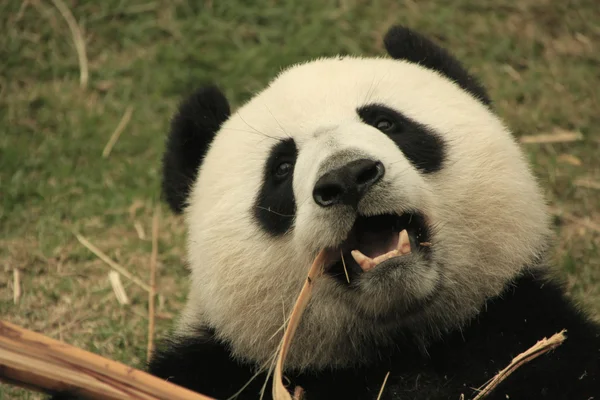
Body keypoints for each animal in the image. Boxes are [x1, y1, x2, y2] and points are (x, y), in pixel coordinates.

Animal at [52, 25, 600, 400]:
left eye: (386, 122)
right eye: (281, 168)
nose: (348, 178)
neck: (397, 347)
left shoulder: (524, 334)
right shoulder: (217, 368)